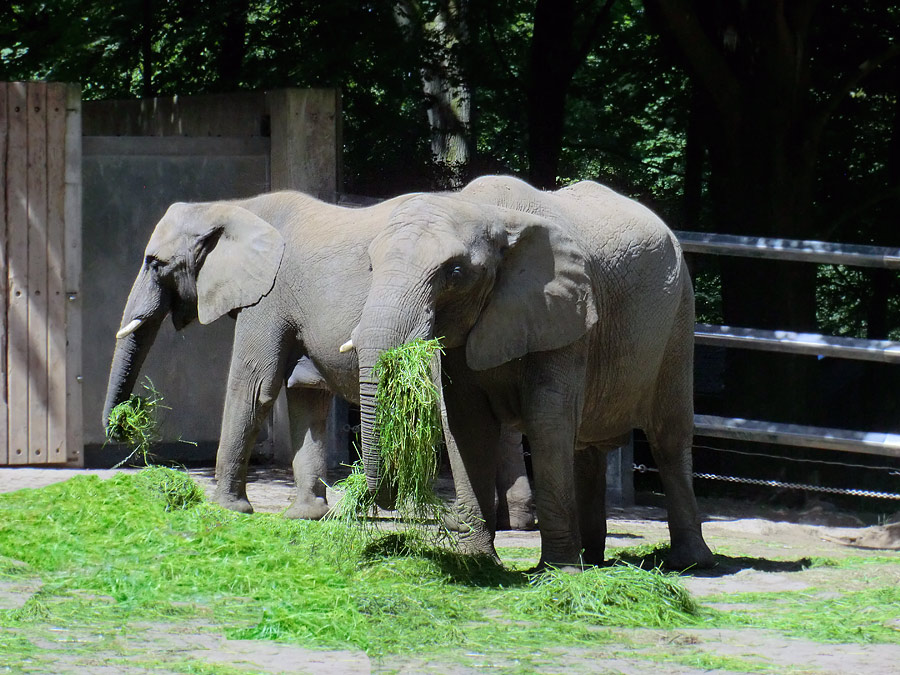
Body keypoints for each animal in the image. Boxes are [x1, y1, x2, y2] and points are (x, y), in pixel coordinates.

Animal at [100, 187, 536, 524]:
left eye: (154, 264)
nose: (124, 424)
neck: (234, 207)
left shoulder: (269, 296)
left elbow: (254, 385)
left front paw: (226, 509)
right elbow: (303, 393)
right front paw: (306, 516)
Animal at [346, 174, 716, 572]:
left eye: (455, 273)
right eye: (371, 267)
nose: (376, 496)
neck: (489, 214)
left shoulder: (565, 312)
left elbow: (547, 418)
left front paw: (556, 573)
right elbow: (466, 423)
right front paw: (477, 563)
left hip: (679, 317)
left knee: (669, 437)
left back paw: (689, 563)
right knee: (585, 448)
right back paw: (593, 560)